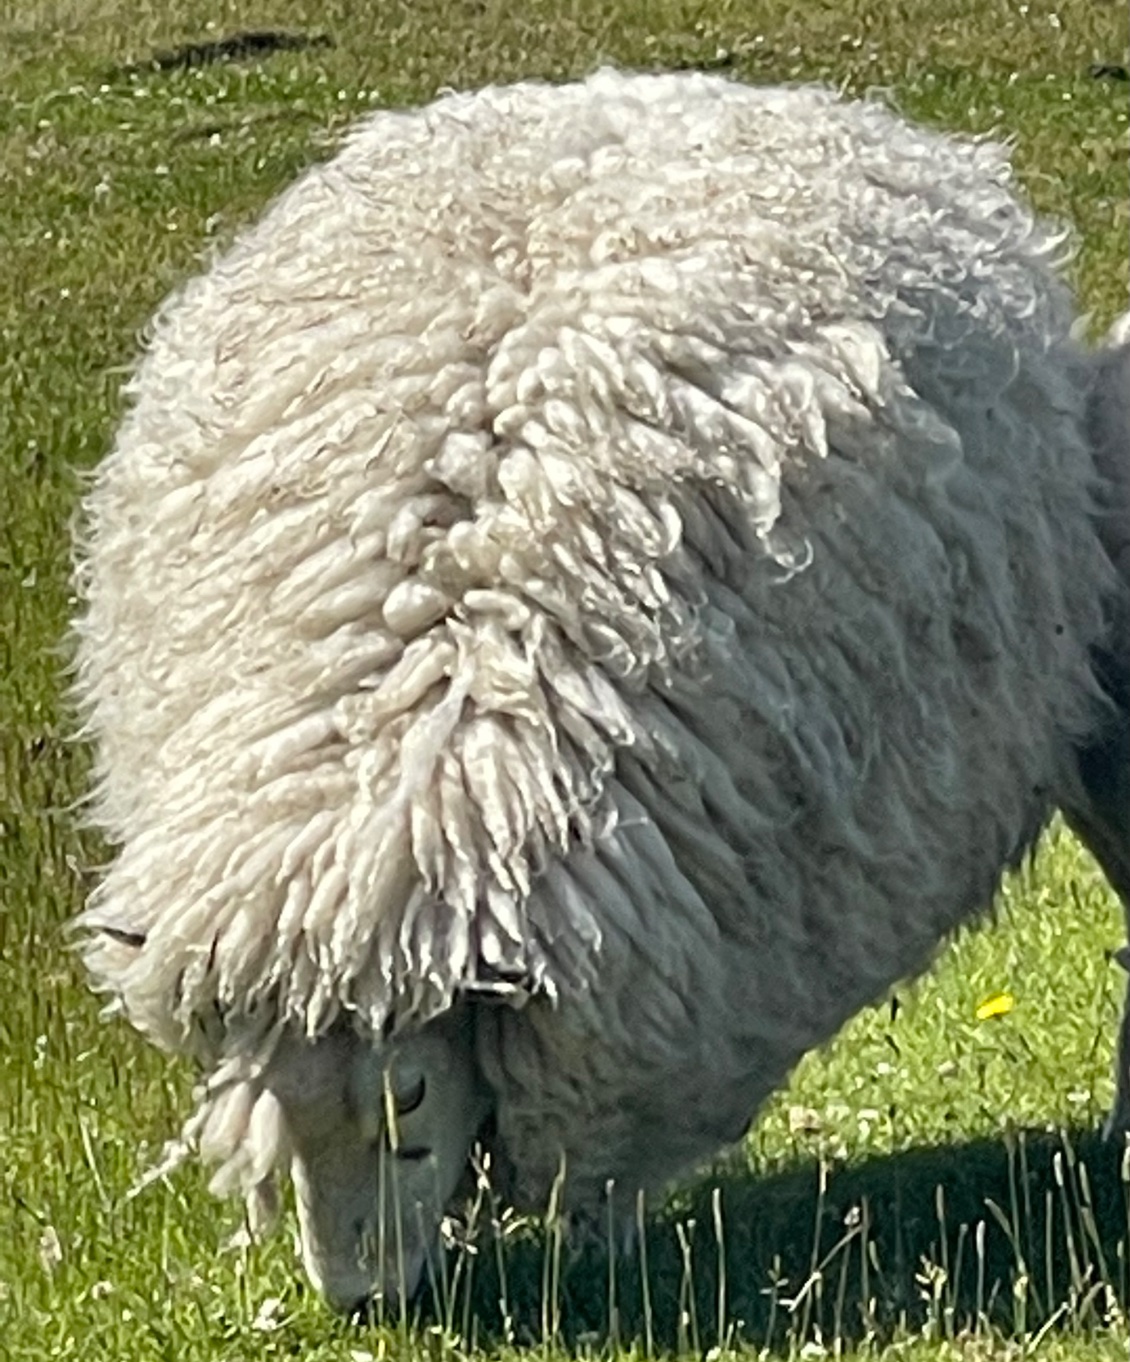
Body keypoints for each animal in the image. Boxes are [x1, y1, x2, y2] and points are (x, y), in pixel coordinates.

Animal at [72, 69, 1130, 1312]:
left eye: (408, 1098)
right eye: (282, 1113)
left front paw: (598, 1246)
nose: (360, 1304)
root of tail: (660, 89)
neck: (420, 746)